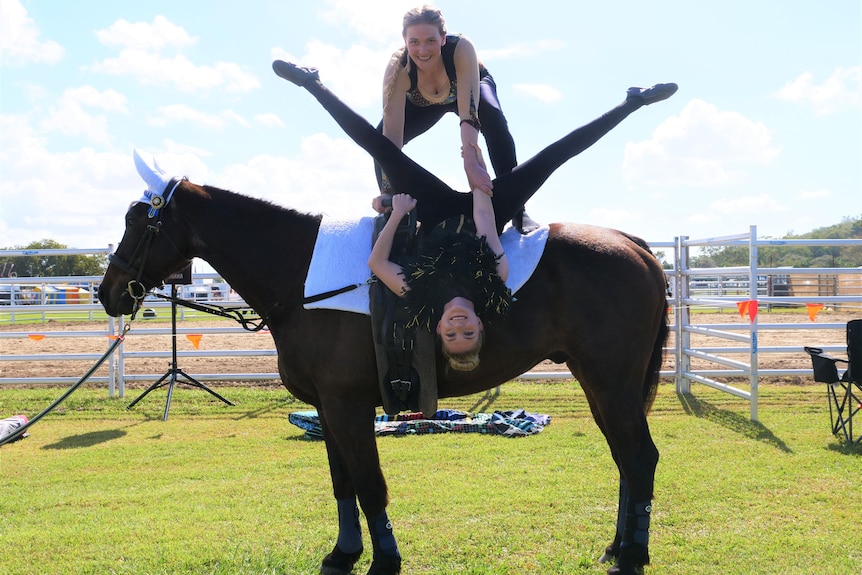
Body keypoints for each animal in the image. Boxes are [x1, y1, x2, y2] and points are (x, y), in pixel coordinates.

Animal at [98, 154, 672, 575]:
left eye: (138, 222)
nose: (108, 293)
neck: (305, 277)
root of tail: (635, 246)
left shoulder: (348, 406)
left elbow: (369, 482)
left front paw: (384, 561)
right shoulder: (328, 410)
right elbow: (343, 483)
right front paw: (344, 553)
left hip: (612, 383)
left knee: (639, 458)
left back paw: (632, 556)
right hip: (599, 384)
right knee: (625, 459)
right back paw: (618, 547)